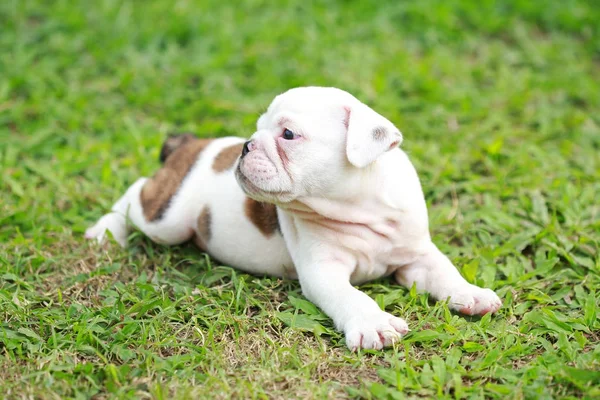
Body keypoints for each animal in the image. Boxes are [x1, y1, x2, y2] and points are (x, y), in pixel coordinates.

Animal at [85, 86, 502, 350]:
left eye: (287, 134)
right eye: (257, 129)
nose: (246, 145)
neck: (360, 207)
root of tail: (192, 143)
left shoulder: (417, 254)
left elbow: (444, 271)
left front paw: (470, 293)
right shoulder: (323, 273)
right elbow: (351, 297)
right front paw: (374, 324)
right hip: (168, 220)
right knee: (138, 191)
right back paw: (104, 231)